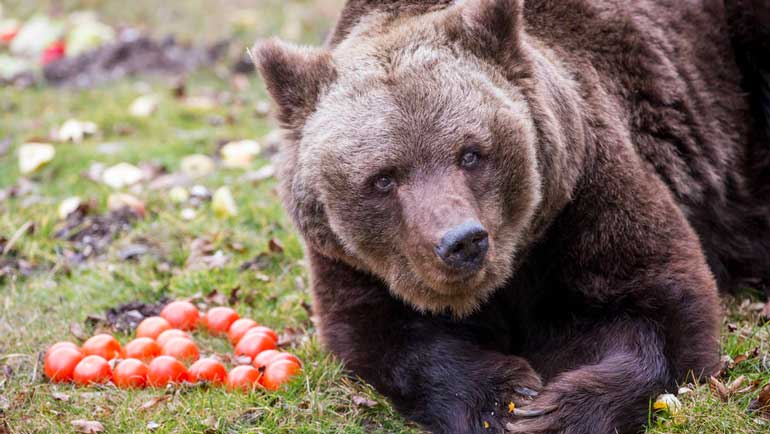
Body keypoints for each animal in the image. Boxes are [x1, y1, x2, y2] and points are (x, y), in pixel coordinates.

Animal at [250, 0, 768, 434]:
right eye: (383, 178)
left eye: (471, 153)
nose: (461, 241)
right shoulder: (351, 263)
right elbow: (385, 337)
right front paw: (500, 400)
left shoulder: (584, 193)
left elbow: (661, 306)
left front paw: (555, 413)